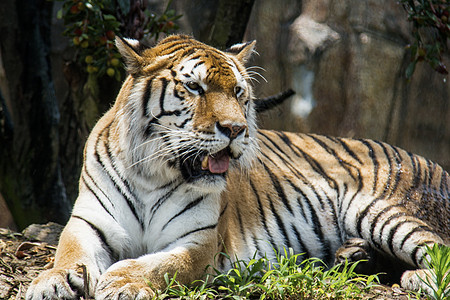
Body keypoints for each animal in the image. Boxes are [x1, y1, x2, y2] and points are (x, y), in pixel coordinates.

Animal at [26, 34, 448, 298]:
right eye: (194, 87)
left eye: (239, 92)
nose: (235, 129)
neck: (152, 174)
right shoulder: (89, 222)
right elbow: (67, 252)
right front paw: (50, 283)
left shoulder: (200, 241)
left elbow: (159, 265)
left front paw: (122, 282)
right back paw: (353, 256)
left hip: (381, 210)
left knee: (439, 250)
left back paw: (417, 278)